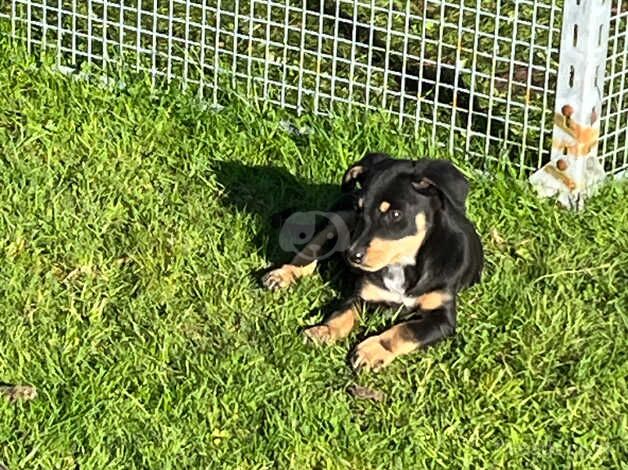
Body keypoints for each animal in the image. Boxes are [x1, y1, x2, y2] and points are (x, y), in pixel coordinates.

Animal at [262, 153, 484, 370]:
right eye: (360, 209)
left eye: (395, 214)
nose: (352, 256)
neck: (402, 265)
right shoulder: (362, 294)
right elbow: (341, 314)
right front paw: (323, 331)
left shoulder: (442, 318)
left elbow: (404, 330)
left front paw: (372, 351)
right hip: (339, 221)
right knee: (310, 250)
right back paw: (283, 274)